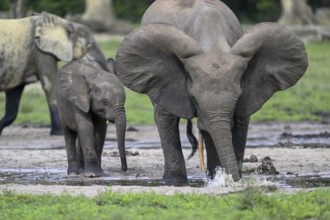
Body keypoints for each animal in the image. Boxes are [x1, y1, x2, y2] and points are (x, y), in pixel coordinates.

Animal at [114, 0, 308, 184]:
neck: (213, 46)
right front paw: (174, 182)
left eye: (238, 96)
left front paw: (226, 178)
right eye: (193, 98)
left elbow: (240, 122)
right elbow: (166, 119)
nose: (233, 180)